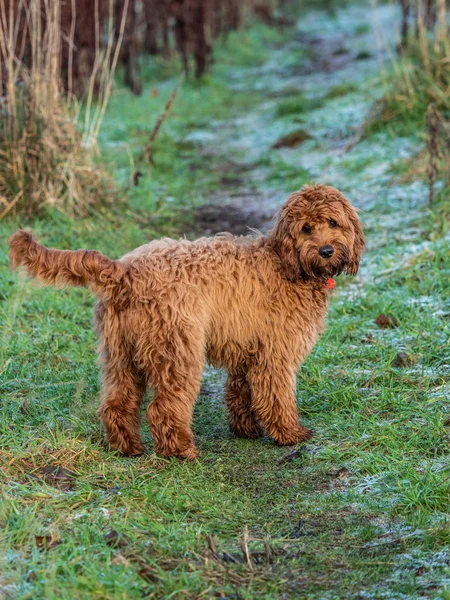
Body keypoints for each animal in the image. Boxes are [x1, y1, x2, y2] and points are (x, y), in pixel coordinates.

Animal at [8, 183, 364, 460]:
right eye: (306, 228)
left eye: (333, 222)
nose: (327, 250)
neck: (287, 262)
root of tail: (124, 271)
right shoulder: (275, 354)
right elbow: (276, 397)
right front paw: (290, 434)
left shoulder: (247, 348)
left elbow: (240, 391)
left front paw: (245, 428)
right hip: (176, 349)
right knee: (163, 407)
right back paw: (180, 450)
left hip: (120, 353)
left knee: (117, 402)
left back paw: (128, 447)